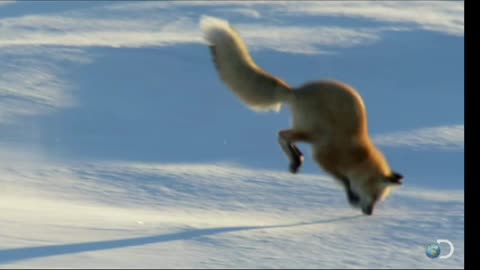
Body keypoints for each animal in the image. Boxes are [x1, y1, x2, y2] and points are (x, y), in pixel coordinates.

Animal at [201, 16, 404, 215]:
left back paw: (297, 159)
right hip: (311, 132)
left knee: (286, 137)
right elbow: (344, 180)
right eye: (374, 196)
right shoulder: (323, 157)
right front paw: (351, 196)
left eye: (379, 199)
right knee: (282, 134)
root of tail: (297, 91)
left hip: (308, 133)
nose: (370, 212)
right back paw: (295, 160)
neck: (355, 154)